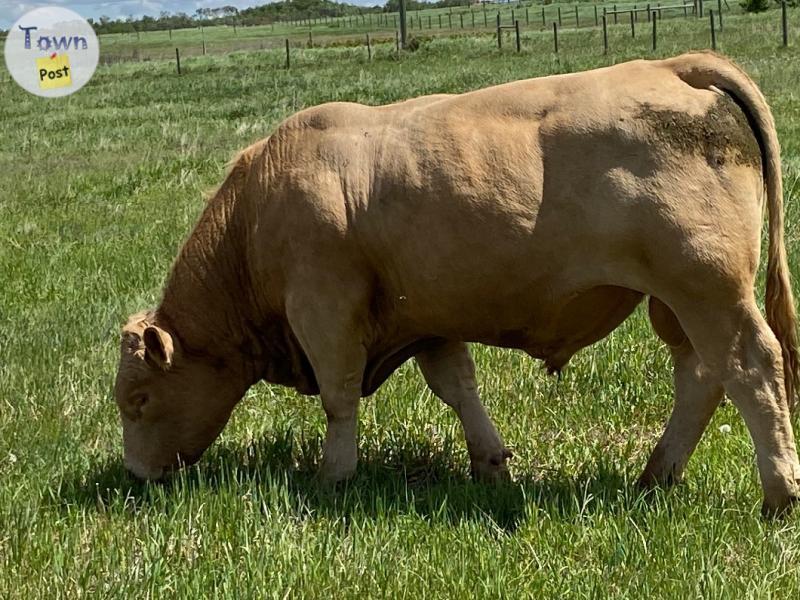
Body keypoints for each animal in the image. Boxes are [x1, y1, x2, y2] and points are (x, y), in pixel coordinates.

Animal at [114, 51, 800, 512]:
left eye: (137, 400)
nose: (136, 477)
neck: (256, 210)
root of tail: (674, 65)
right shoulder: (425, 316)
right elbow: (458, 388)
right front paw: (491, 465)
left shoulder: (323, 307)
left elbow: (340, 396)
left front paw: (333, 478)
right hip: (676, 301)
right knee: (702, 376)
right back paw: (656, 475)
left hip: (706, 288)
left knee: (751, 368)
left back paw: (778, 492)